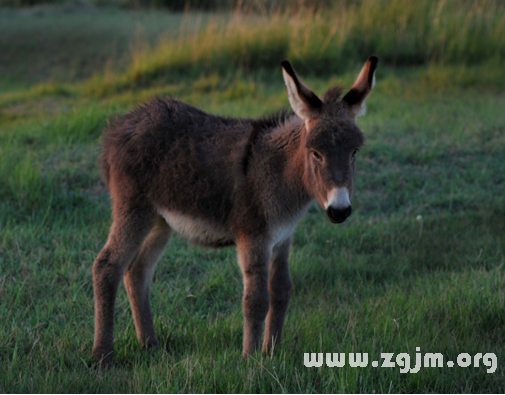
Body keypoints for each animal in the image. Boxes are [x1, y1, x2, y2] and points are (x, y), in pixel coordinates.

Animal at [93, 55, 378, 366]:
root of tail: (120, 126)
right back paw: (103, 355)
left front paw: (272, 351)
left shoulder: (282, 238)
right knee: (107, 266)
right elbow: (256, 300)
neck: (279, 173)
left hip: (160, 221)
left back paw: (150, 345)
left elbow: (281, 291)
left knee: (137, 271)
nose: (340, 210)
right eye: (316, 153)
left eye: (354, 152)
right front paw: (251, 360)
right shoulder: (254, 237)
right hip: (134, 209)